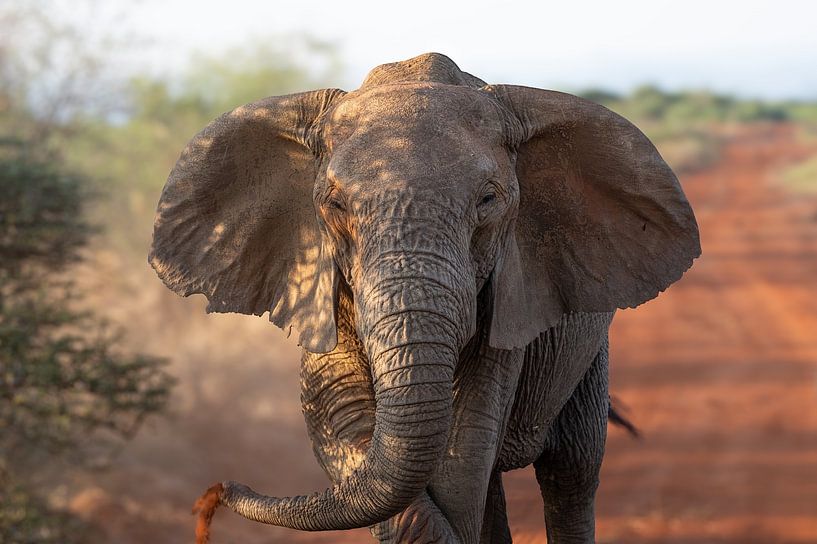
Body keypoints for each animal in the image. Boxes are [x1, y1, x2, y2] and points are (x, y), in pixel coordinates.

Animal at [149, 52, 700, 543]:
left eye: (488, 200)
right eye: (334, 205)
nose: (212, 496)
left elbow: (464, 454)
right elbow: (337, 412)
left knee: (571, 473)